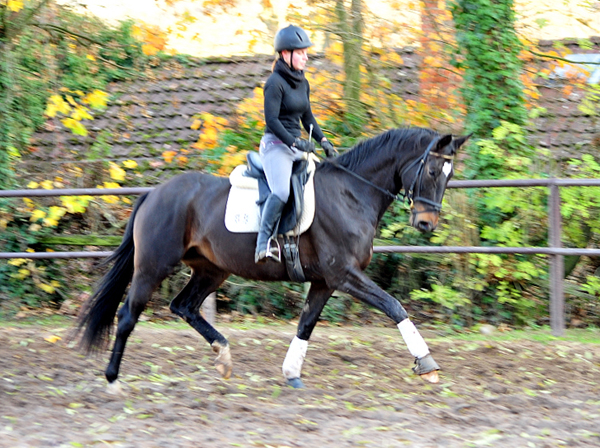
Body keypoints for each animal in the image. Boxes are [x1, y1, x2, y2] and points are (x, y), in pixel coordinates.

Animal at [75, 127, 468, 392]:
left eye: (449, 177)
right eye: (433, 171)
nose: (426, 224)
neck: (352, 193)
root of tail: (153, 193)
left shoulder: (325, 281)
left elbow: (306, 324)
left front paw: (292, 373)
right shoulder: (344, 275)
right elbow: (394, 306)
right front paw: (427, 363)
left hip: (210, 270)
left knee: (183, 306)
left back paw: (224, 357)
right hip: (152, 267)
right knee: (128, 316)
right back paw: (112, 379)